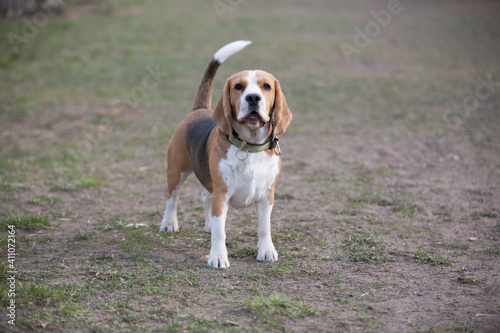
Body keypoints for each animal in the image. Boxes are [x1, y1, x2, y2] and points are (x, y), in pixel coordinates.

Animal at [160, 40, 292, 268]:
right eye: (239, 86)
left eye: (266, 86)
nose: (253, 98)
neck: (250, 146)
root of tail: (199, 109)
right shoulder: (222, 194)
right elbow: (220, 232)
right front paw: (218, 257)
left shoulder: (267, 195)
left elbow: (264, 227)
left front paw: (266, 251)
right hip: (176, 171)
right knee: (172, 197)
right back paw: (169, 223)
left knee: (205, 197)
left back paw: (208, 225)